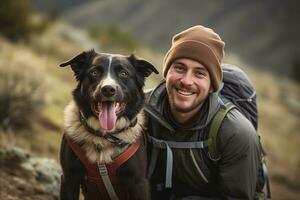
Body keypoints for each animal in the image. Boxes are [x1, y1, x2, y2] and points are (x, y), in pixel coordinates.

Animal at [58, 48, 159, 200]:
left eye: (124, 74)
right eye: (94, 72)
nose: (108, 89)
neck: (103, 136)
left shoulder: (139, 183)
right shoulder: (69, 179)